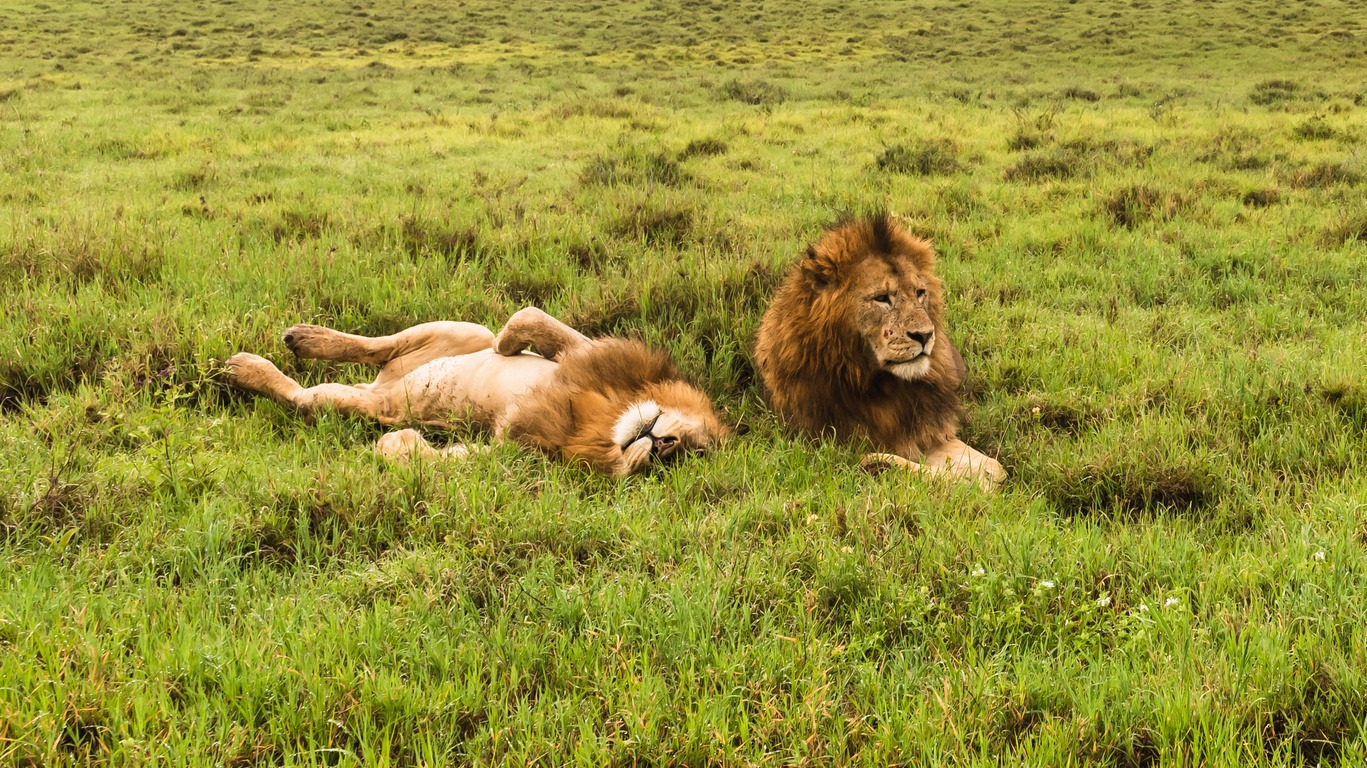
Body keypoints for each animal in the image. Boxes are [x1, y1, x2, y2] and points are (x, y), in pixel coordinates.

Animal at [224, 304, 732, 472]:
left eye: (680, 460)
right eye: (690, 443)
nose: (664, 446)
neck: (602, 417)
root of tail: (385, 383)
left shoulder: (511, 446)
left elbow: (435, 457)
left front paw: (398, 445)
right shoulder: (589, 355)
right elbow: (530, 319)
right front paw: (511, 346)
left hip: (358, 400)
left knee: (304, 396)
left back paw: (246, 368)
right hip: (457, 329)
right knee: (376, 344)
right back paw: (302, 337)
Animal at [754, 213, 1011, 489]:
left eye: (920, 293)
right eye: (881, 298)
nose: (925, 335)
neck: (874, 382)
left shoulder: (928, 433)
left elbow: (996, 468)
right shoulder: (826, 446)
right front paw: (881, 464)